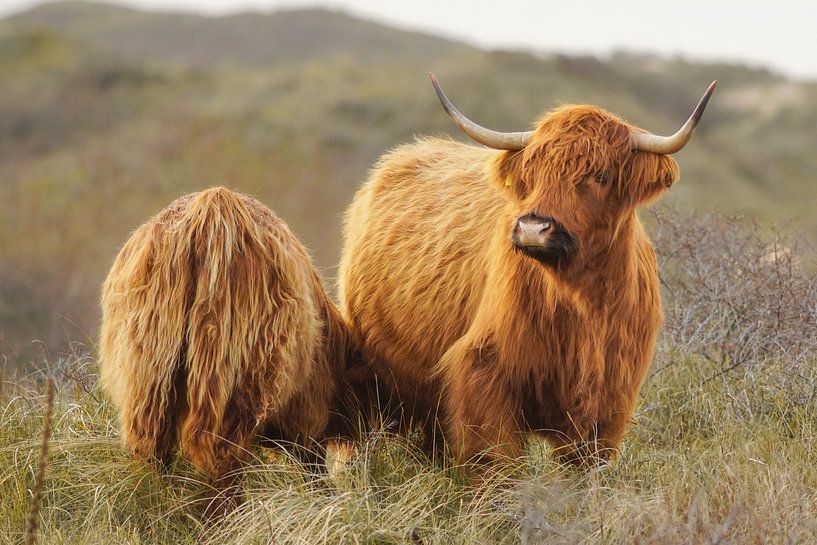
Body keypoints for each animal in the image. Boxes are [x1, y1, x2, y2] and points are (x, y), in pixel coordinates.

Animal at [99, 187, 360, 516]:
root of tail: (211, 210)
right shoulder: (307, 414)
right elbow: (312, 466)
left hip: (148, 377)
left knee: (149, 454)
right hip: (238, 374)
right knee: (224, 462)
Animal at [338, 74, 712, 466]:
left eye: (600, 175)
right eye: (532, 172)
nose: (534, 227)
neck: (582, 304)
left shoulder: (610, 397)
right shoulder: (485, 372)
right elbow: (499, 462)